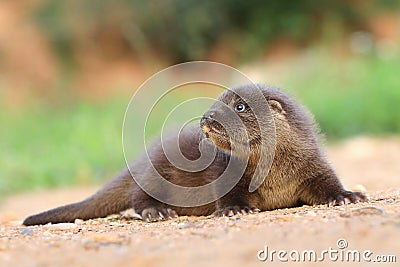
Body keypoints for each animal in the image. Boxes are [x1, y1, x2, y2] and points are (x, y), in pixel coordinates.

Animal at [21, 84, 366, 226]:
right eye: (215, 101)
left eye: (240, 106)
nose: (206, 118)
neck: (275, 173)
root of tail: (141, 159)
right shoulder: (228, 178)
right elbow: (227, 196)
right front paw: (235, 209)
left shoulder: (314, 167)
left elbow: (328, 185)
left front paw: (349, 195)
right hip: (156, 176)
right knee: (137, 197)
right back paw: (157, 212)